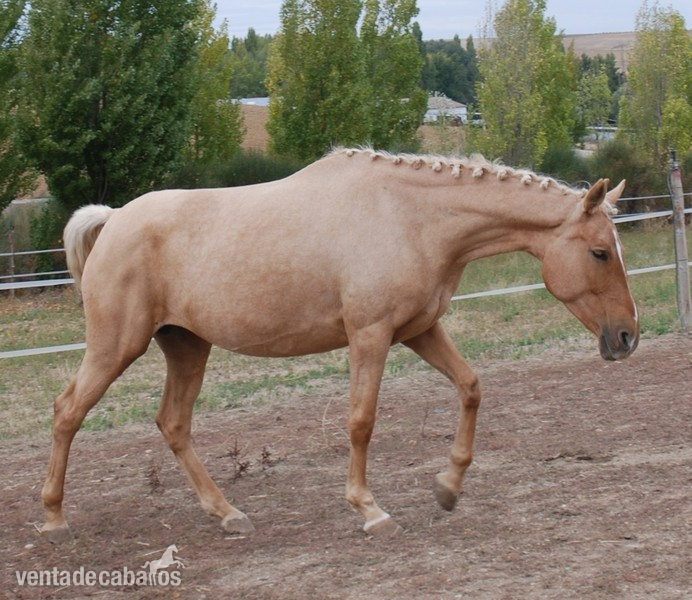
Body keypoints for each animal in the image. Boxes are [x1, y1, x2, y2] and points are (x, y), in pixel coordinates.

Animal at [40, 147, 639, 541]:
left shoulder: (418, 330)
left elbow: (470, 387)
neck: (409, 216)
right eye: (600, 252)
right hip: (117, 346)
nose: (628, 337)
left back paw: (227, 513)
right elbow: (361, 421)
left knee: (174, 424)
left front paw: (448, 487)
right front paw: (370, 510)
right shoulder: (370, 335)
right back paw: (54, 517)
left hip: (187, 347)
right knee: (68, 411)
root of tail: (115, 218)